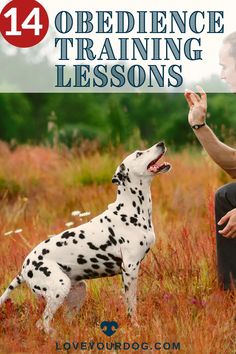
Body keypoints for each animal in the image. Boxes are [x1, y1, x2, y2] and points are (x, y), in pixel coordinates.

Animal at [0, 140, 171, 332]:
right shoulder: (130, 268)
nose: (161, 143)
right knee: (43, 322)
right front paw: (135, 325)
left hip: (78, 291)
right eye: (139, 154)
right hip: (59, 288)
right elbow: (131, 304)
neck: (130, 209)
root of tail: (24, 269)